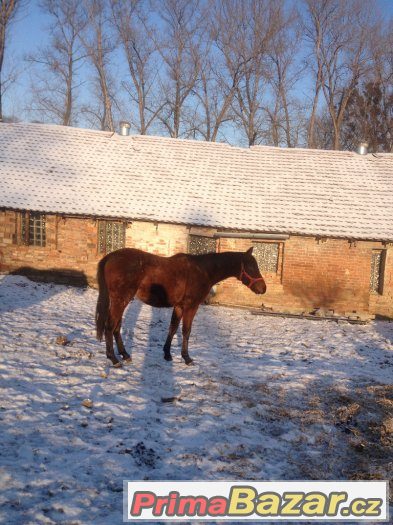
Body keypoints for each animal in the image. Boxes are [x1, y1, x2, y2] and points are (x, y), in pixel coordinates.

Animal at [95, 246, 266, 364]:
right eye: (251, 267)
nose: (263, 288)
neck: (203, 271)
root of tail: (110, 257)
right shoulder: (191, 306)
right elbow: (186, 331)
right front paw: (186, 357)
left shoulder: (178, 306)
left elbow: (172, 328)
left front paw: (167, 354)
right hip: (120, 300)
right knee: (110, 326)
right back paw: (113, 358)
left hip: (122, 300)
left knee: (116, 327)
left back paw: (125, 354)